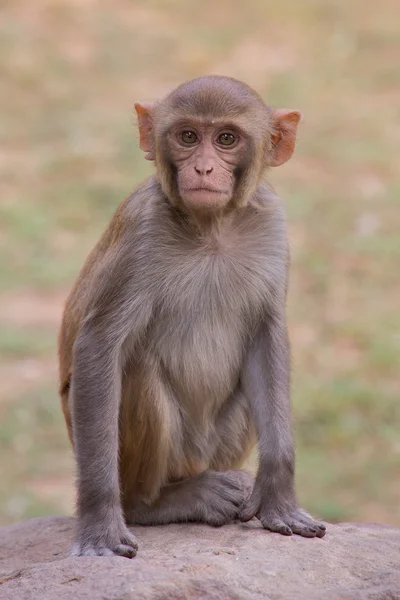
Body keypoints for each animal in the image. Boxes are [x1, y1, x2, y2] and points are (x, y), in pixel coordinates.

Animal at [59, 75, 326, 556]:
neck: (212, 227)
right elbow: (98, 347)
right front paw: (99, 524)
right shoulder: (141, 230)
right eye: (187, 137)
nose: (202, 169)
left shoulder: (272, 225)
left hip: (214, 448)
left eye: (226, 139)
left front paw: (279, 498)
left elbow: (267, 338)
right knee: (136, 368)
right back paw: (157, 503)